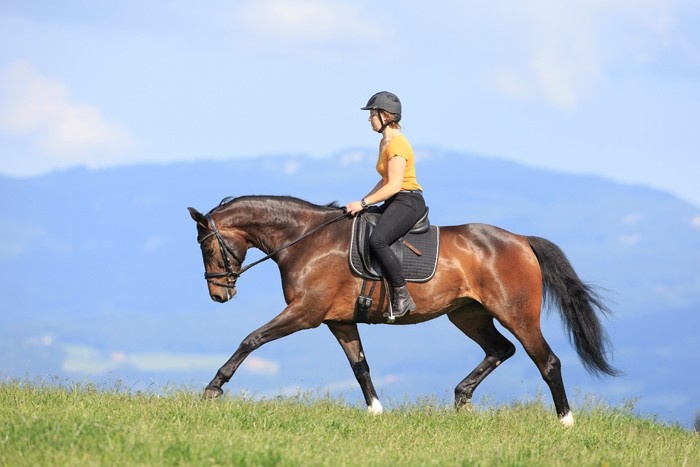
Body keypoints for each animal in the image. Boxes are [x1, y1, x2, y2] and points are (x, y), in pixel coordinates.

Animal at [186, 195, 616, 428]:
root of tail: (522, 241)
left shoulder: (305, 312)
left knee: (547, 361)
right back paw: (461, 400)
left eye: (207, 247)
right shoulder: (339, 320)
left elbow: (251, 339)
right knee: (500, 349)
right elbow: (360, 366)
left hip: (518, 314)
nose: (218, 295)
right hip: (467, 314)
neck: (305, 239)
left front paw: (213, 388)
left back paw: (565, 421)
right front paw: (376, 410)